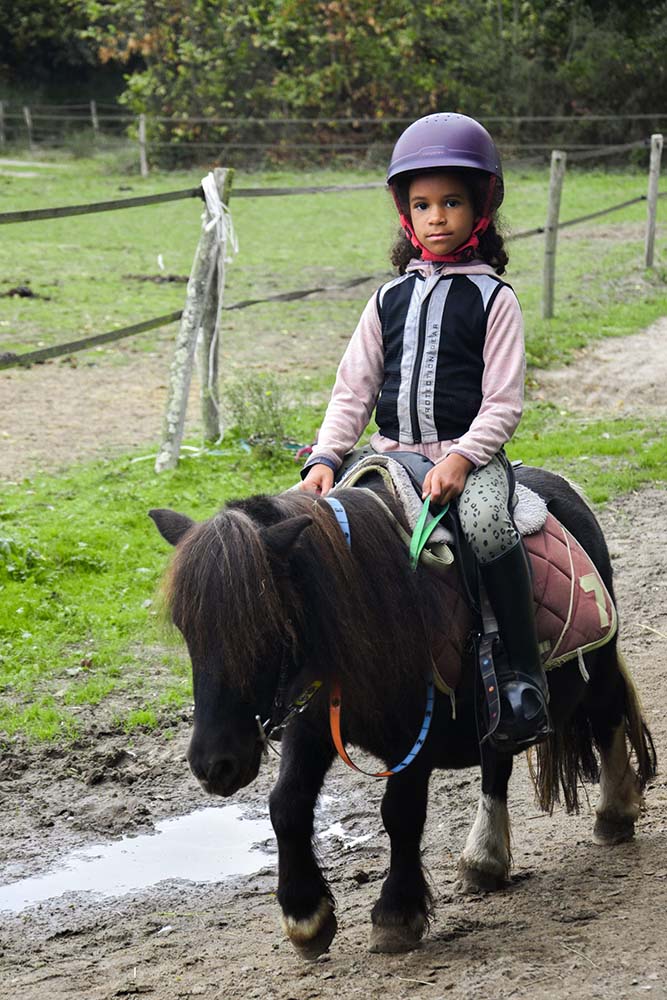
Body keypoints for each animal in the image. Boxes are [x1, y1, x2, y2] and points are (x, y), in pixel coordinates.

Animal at [149, 464, 656, 956]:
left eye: (265, 625)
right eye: (187, 627)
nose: (214, 765)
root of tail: (565, 492)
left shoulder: (416, 735)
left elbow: (400, 813)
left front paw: (395, 915)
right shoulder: (311, 725)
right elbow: (286, 804)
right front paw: (305, 916)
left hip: (597, 663)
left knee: (608, 716)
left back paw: (614, 814)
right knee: (497, 765)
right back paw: (484, 861)